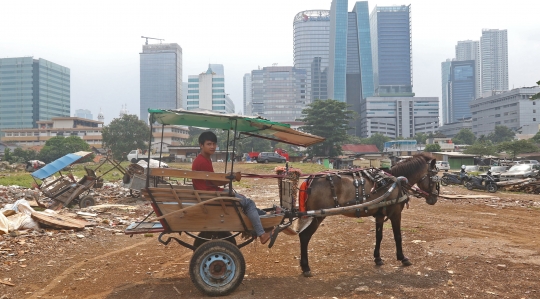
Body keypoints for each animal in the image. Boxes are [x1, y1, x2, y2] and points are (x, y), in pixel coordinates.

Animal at [300, 154, 438, 278]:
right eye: (435, 178)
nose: (434, 198)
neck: (395, 181)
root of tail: (311, 180)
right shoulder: (396, 214)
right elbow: (398, 236)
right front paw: (402, 258)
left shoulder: (380, 215)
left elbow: (379, 236)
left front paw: (378, 258)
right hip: (317, 216)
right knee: (305, 236)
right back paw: (305, 267)